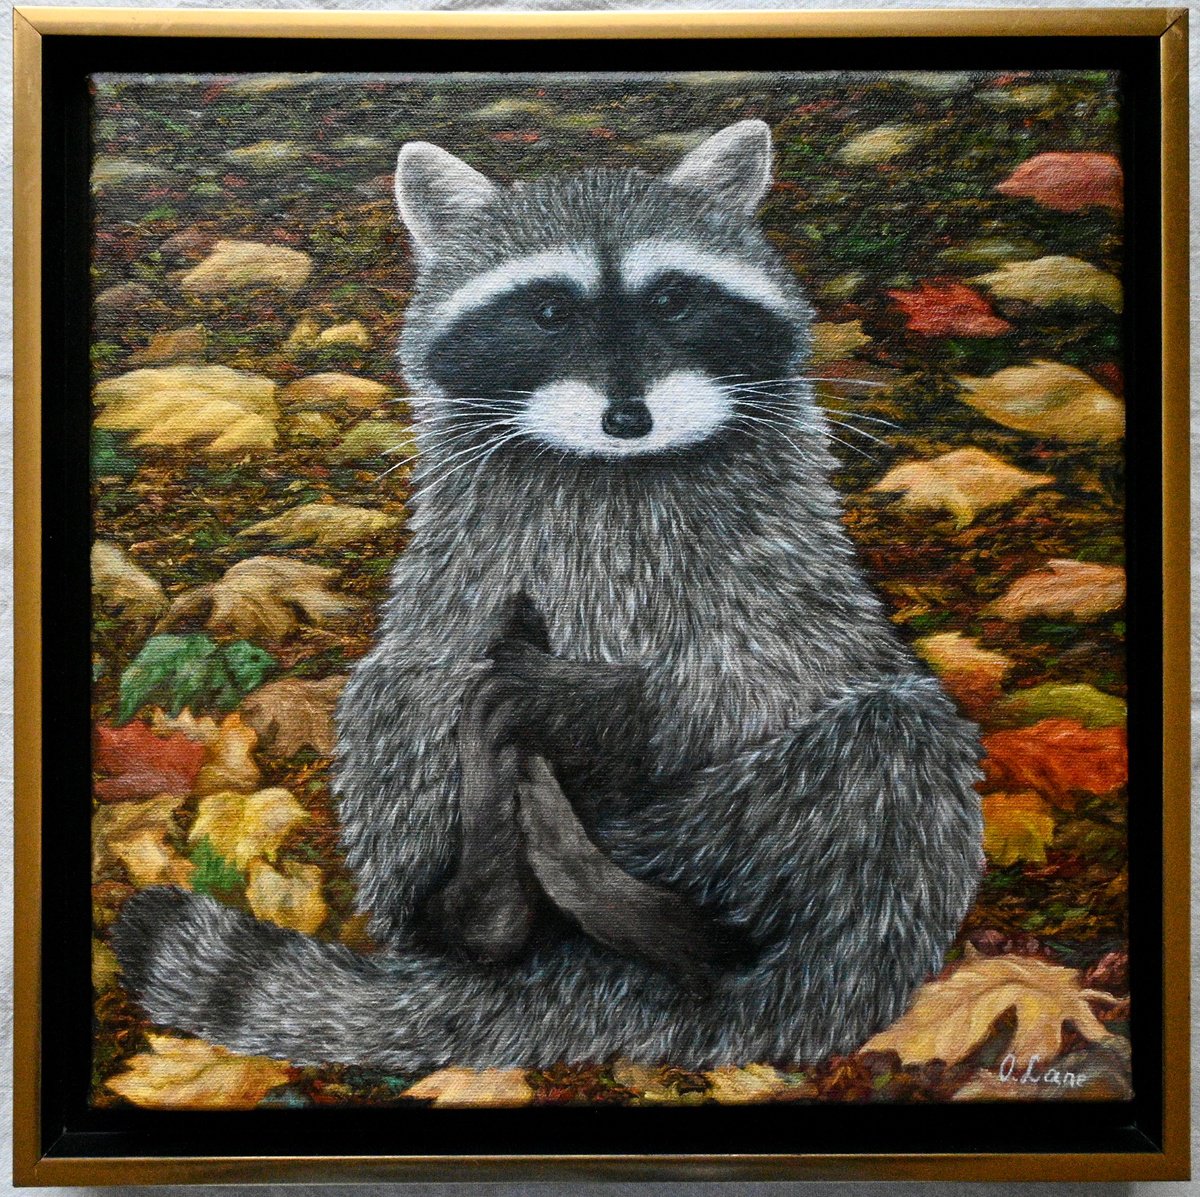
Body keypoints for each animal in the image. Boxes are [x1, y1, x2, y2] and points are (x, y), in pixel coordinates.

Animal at [113, 120, 984, 1072]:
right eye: (548, 313)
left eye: (673, 299)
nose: (629, 418)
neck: (617, 466)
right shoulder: (479, 545)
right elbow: (435, 658)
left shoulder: (778, 554)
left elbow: (745, 671)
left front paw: (608, 699)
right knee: (404, 686)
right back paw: (486, 899)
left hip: (781, 838)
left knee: (889, 738)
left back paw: (642, 905)